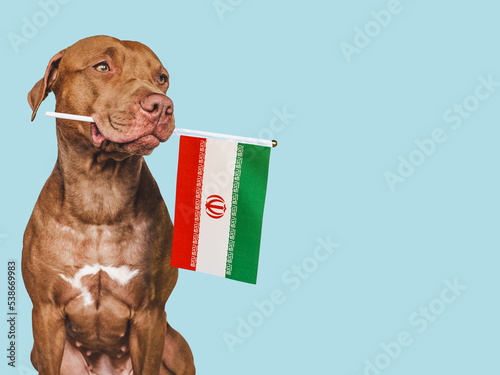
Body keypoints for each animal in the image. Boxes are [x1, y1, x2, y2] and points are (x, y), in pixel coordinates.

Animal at [23, 36, 195, 375]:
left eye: (162, 78)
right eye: (102, 67)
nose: (162, 106)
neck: (100, 195)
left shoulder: (151, 314)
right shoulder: (46, 314)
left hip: (176, 346)